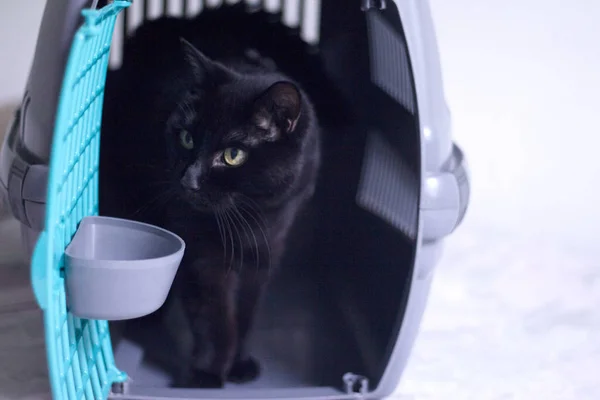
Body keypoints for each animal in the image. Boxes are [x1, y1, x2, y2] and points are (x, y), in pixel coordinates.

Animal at [101, 11, 322, 388]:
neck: (253, 215)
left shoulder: (267, 250)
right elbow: (215, 316)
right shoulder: (201, 251)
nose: (187, 180)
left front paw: (240, 364)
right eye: (187, 137)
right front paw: (206, 374)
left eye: (233, 155)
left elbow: (246, 311)